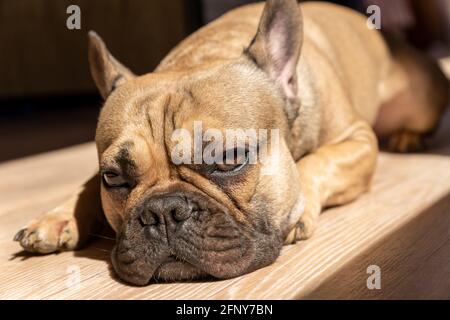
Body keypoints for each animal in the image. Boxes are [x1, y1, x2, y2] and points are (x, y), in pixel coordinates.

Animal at [13, 0, 446, 284]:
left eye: (229, 158)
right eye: (113, 178)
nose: (163, 212)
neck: (205, 54)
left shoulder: (357, 139)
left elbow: (315, 163)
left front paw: (299, 207)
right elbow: (84, 185)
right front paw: (58, 217)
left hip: (419, 103)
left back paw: (408, 137)